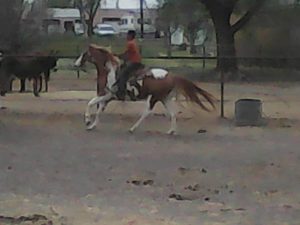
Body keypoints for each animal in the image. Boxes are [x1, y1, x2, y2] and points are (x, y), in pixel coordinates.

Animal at [74, 44, 216, 134]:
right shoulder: (108, 97)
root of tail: (172, 76)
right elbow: (98, 110)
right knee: (172, 113)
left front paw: (87, 121)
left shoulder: (108, 95)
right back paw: (171, 131)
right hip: (164, 98)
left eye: (84, 54)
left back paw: (133, 128)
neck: (110, 72)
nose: (76, 64)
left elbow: (91, 103)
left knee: (147, 112)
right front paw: (91, 125)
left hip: (153, 98)